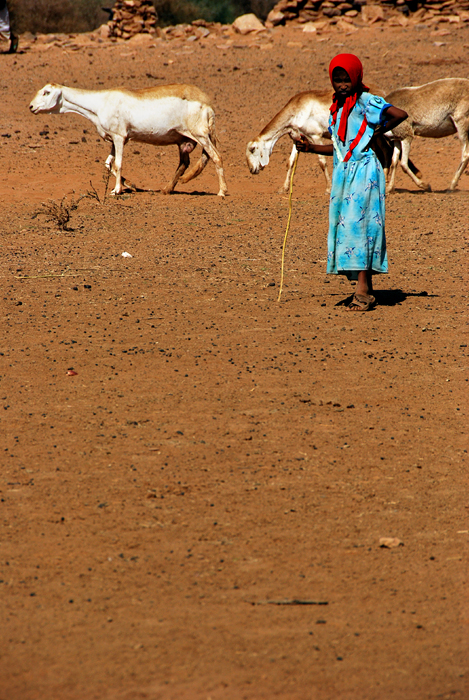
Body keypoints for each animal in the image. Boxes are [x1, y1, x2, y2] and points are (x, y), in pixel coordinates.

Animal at [28, 83, 227, 197]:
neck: (100, 102)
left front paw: (117, 190)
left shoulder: (119, 137)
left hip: (201, 136)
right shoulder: (115, 140)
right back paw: (166, 189)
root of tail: (207, 103)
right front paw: (130, 185)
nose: (31, 107)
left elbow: (118, 164)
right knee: (184, 163)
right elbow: (109, 164)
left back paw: (222, 191)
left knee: (216, 157)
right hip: (185, 141)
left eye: (47, 92)